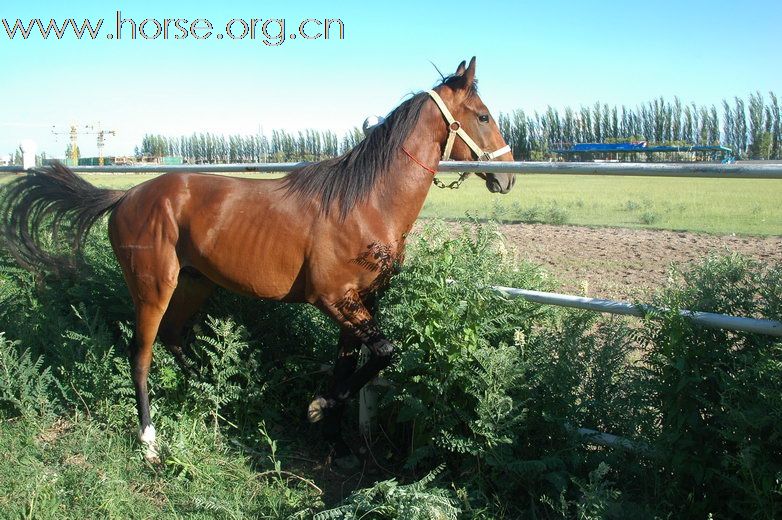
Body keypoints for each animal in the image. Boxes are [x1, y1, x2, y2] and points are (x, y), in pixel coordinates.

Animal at [1, 58, 516, 464]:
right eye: (483, 115)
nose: (508, 177)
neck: (364, 202)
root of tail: (126, 195)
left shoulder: (360, 301)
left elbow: (351, 364)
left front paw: (336, 439)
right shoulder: (333, 299)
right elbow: (384, 353)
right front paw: (318, 408)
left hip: (195, 283)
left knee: (175, 338)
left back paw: (211, 392)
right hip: (153, 288)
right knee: (140, 354)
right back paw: (149, 441)